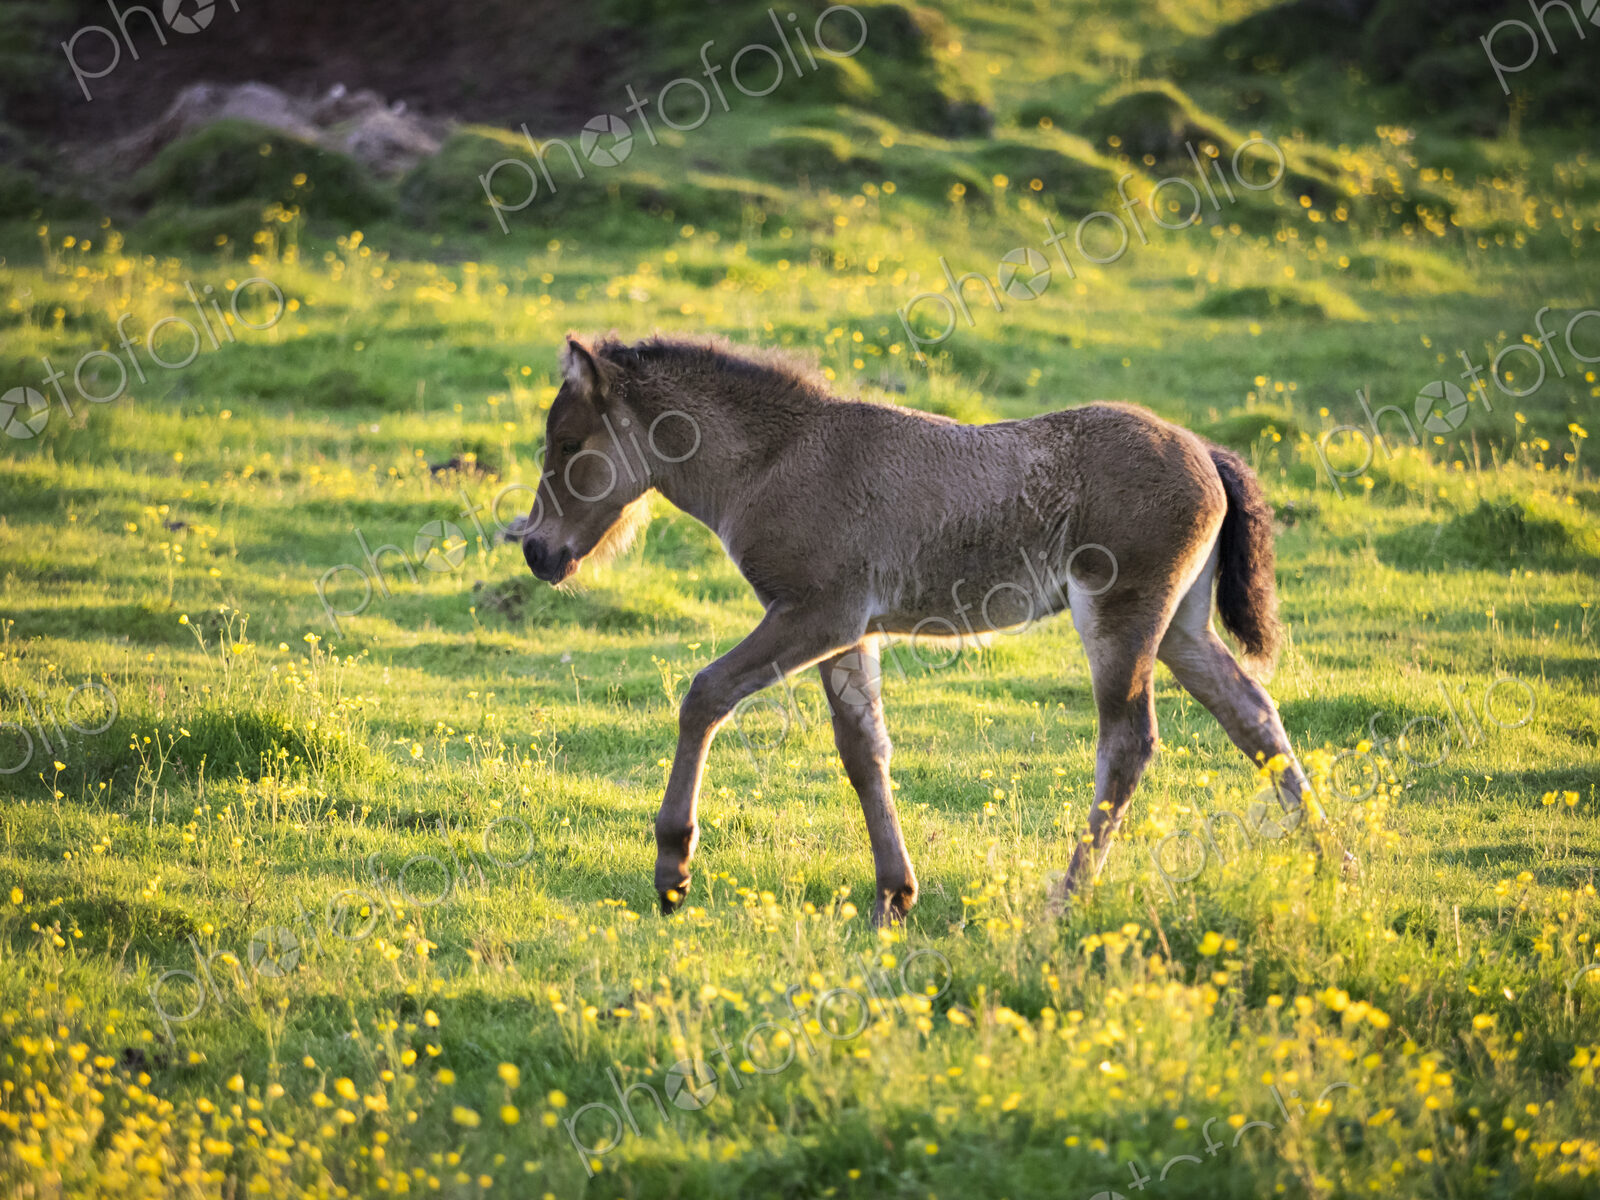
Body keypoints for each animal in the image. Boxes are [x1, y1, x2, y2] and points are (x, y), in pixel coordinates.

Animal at [516, 333, 1317, 926]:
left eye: (569, 444)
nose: (535, 551)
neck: (776, 461)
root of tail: (1206, 452)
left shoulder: (815, 613)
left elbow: (705, 694)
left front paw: (673, 867)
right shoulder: (851, 632)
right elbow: (863, 750)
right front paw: (893, 896)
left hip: (1121, 613)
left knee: (1129, 743)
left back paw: (1064, 900)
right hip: (1180, 627)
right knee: (1253, 714)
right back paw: (1330, 858)